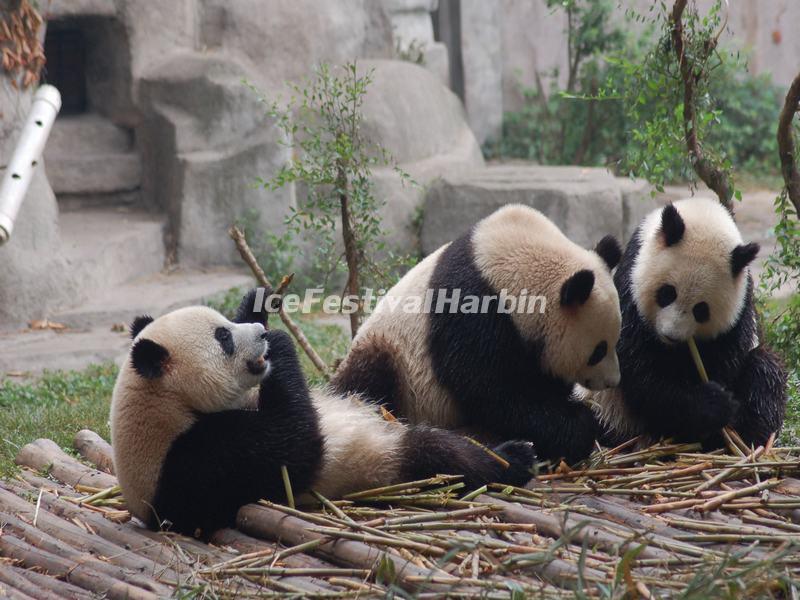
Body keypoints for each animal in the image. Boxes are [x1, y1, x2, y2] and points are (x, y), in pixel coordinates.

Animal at [110, 291, 535, 537]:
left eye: (226, 324)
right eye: (224, 338)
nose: (259, 333)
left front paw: (258, 303)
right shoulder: (197, 460)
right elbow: (293, 447)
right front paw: (280, 341)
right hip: (385, 462)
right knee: (439, 454)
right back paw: (513, 461)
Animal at [332, 204, 624, 464]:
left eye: (615, 341)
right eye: (598, 350)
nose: (613, 381)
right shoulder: (471, 312)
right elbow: (488, 390)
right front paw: (578, 426)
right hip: (393, 359)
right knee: (371, 376)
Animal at [588, 198, 788, 447]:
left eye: (701, 310)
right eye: (667, 293)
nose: (670, 335)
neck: (703, 213)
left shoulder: (740, 305)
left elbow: (728, 360)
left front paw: (722, 415)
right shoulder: (630, 282)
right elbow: (640, 370)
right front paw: (711, 405)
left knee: (765, 370)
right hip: (610, 410)